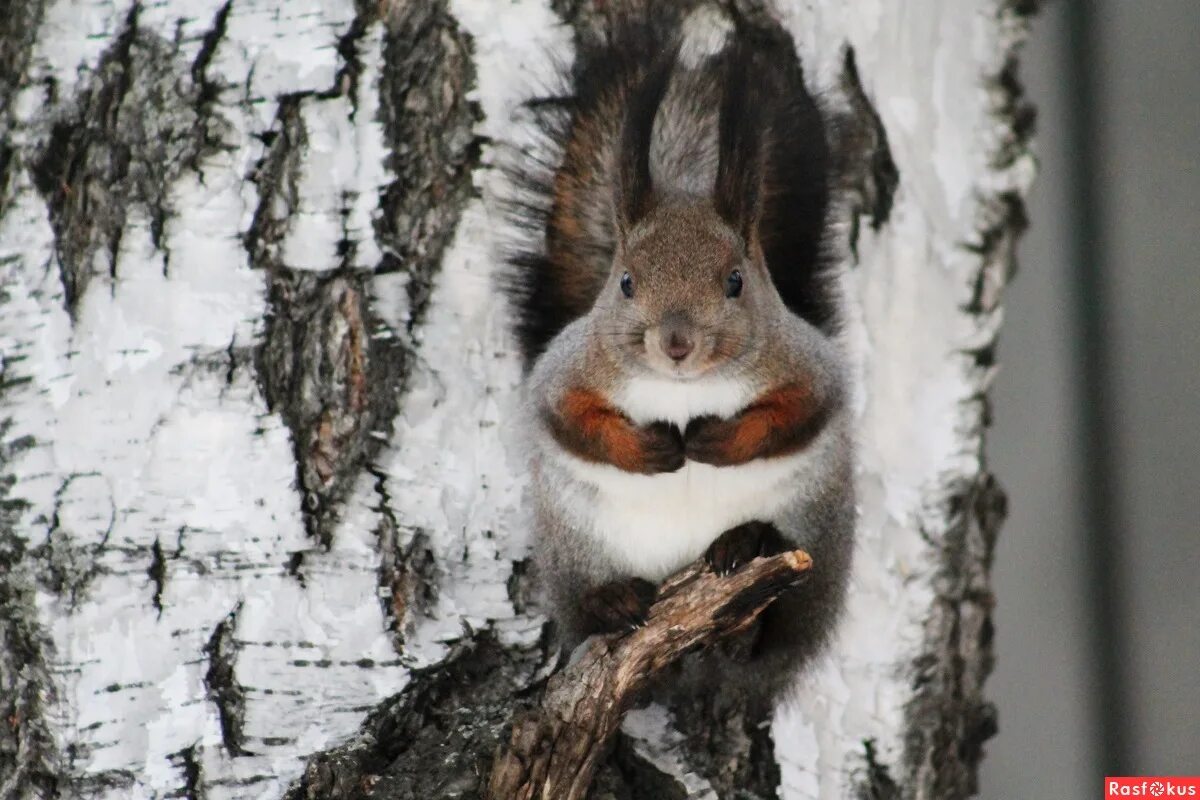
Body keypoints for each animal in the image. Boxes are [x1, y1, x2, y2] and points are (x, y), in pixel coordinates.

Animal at [504, 6, 854, 705]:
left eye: (735, 281)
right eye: (626, 282)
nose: (676, 344)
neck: (684, 391)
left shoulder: (808, 367)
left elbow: (796, 412)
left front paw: (716, 441)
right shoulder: (565, 372)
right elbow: (571, 419)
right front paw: (653, 450)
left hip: (816, 536)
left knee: (774, 632)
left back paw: (748, 562)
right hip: (575, 547)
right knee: (587, 608)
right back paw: (613, 601)